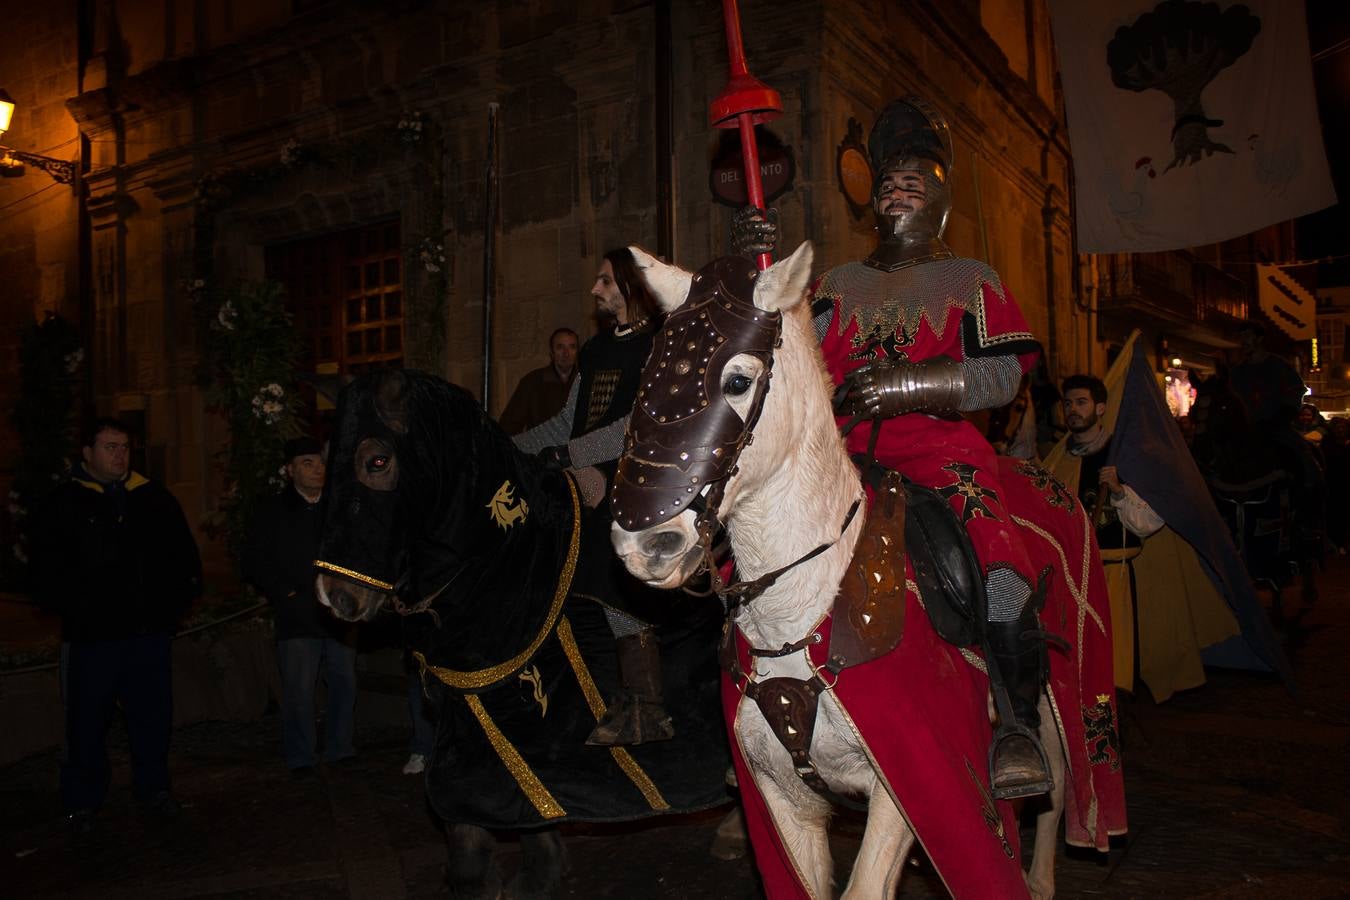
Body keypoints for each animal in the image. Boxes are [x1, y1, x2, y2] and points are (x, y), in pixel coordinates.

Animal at [311, 369, 734, 895]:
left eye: (377, 461)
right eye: (327, 460)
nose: (335, 596)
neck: (502, 561)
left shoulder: (527, 721)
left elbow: (478, 806)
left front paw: (506, 879)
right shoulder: (472, 718)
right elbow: (482, 809)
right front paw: (532, 870)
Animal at [612, 241, 1117, 900]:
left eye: (738, 381)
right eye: (647, 380)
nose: (644, 544)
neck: (799, 612)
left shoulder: (907, 787)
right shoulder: (781, 798)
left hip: (1062, 697)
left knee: (1057, 779)